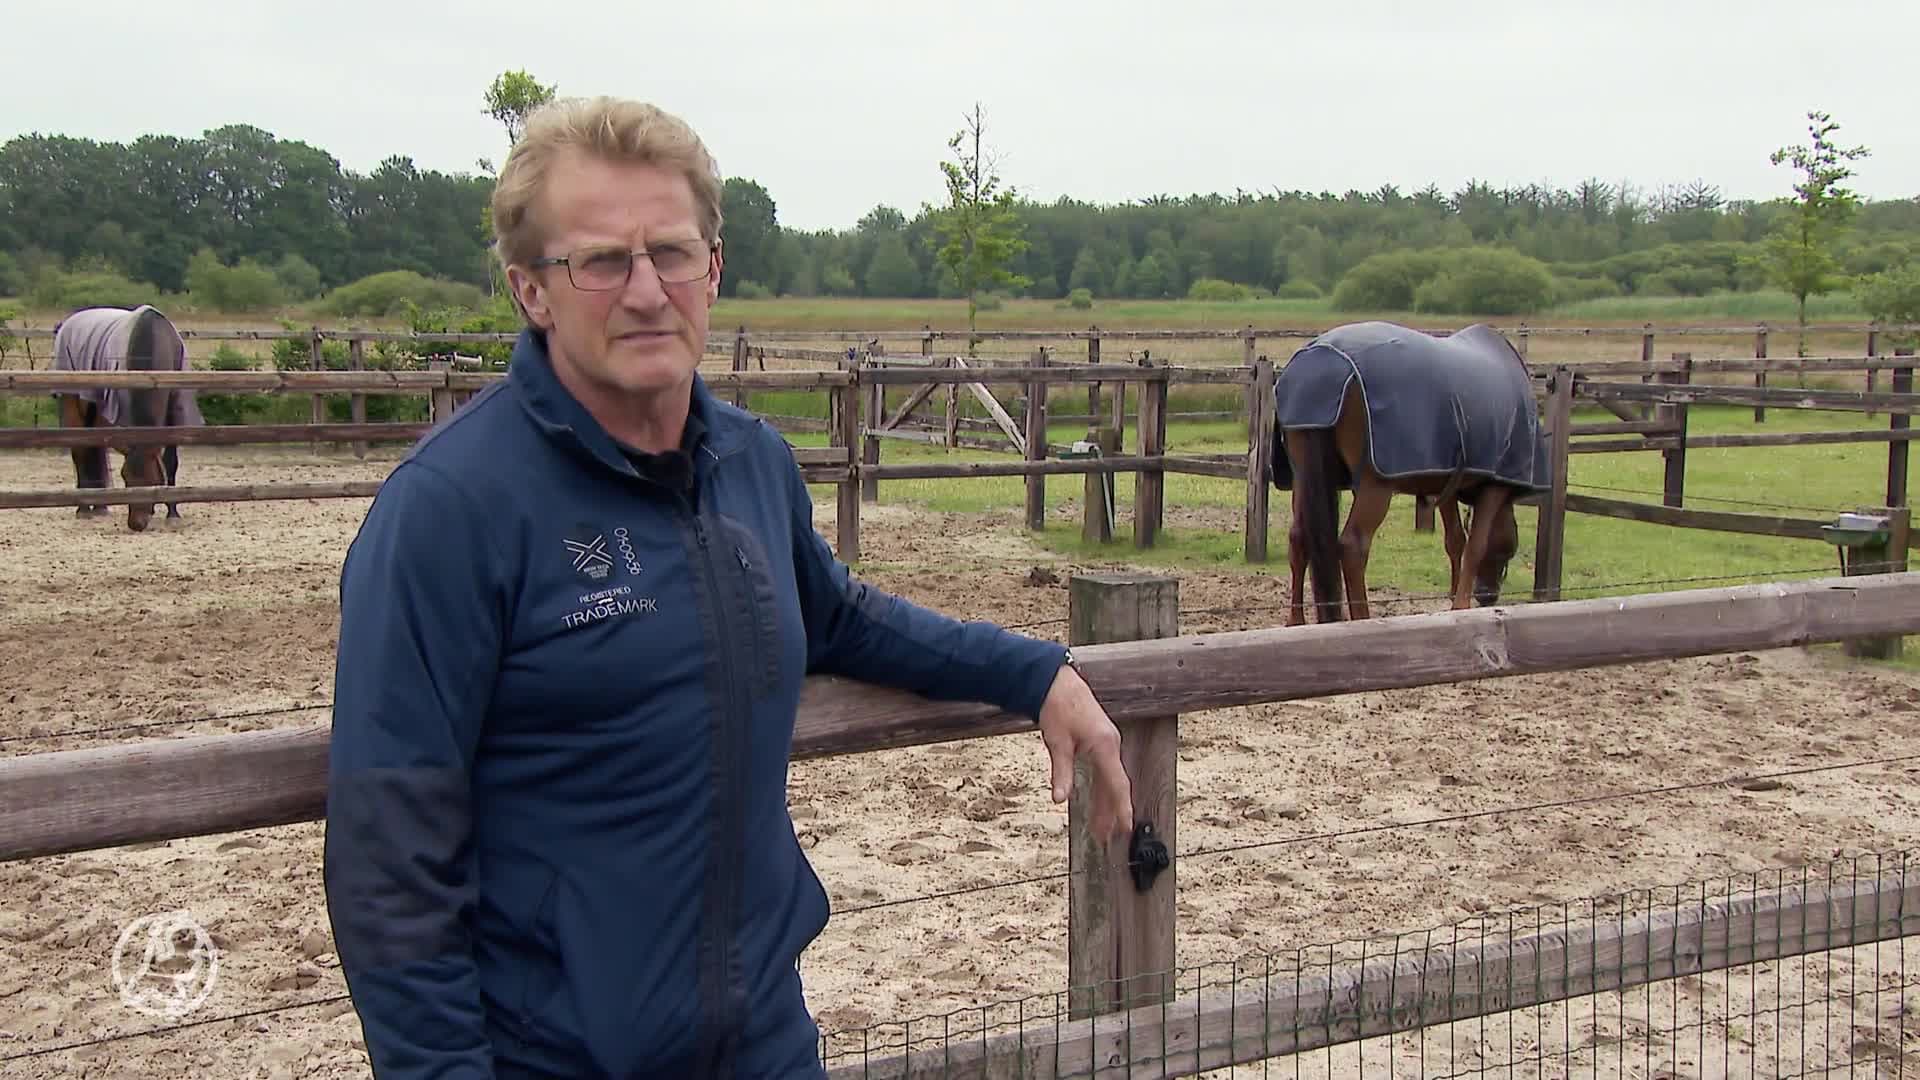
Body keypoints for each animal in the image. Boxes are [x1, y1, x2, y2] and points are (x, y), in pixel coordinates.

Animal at [50, 305, 203, 532]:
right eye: (126, 478)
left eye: (152, 479)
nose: (136, 524)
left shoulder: (174, 412)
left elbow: (170, 462)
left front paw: (172, 512)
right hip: (73, 405)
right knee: (80, 453)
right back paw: (84, 509)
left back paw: (100, 507)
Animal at [1268, 321, 1550, 625]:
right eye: (1508, 550)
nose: (1488, 596)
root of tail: (1321, 365)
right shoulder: (1494, 487)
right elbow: (1475, 545)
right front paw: (1461, 605)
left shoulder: (1446, 484)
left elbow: (1456, 541)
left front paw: (1453, 601)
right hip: (1375, 487)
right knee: (1353, 546)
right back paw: (1363, 617)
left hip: (1303, 478)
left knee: (1299, 538)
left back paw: (1296, 622)